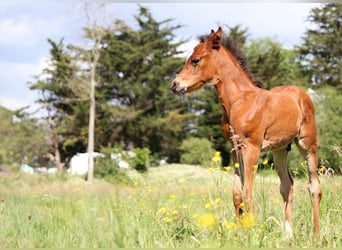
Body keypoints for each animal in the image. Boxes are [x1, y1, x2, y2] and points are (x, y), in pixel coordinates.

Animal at [172, 27, 322, 236]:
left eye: (195, 60)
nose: (175, 85)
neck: (239, 101)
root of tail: (302, 94)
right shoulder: (235, 148)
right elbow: (237, 194)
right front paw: (240, 233)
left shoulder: (252, 147)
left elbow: (248, 194)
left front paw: (252, 233)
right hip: (280, 149)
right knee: (287, 185)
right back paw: (288, 235)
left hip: (307, 143)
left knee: (314, 186)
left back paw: (317, 235)